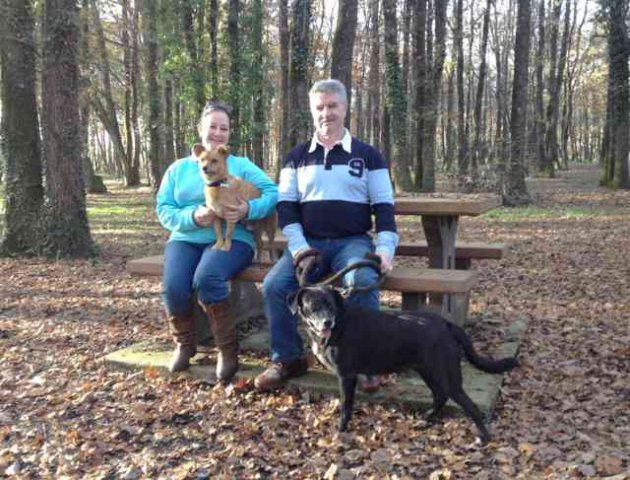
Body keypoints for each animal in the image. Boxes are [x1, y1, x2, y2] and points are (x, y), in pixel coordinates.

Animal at [292, 284, 520, 442]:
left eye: (330, 306)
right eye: (314, 306)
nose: (326, 322)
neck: (340, 321)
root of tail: (446, 323)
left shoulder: (346, 376)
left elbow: (345, 407)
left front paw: (341, 431)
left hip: (446, 375)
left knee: (469, 405)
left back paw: (484, 437)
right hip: (427, 371)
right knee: (440, 396)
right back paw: (427, 418)